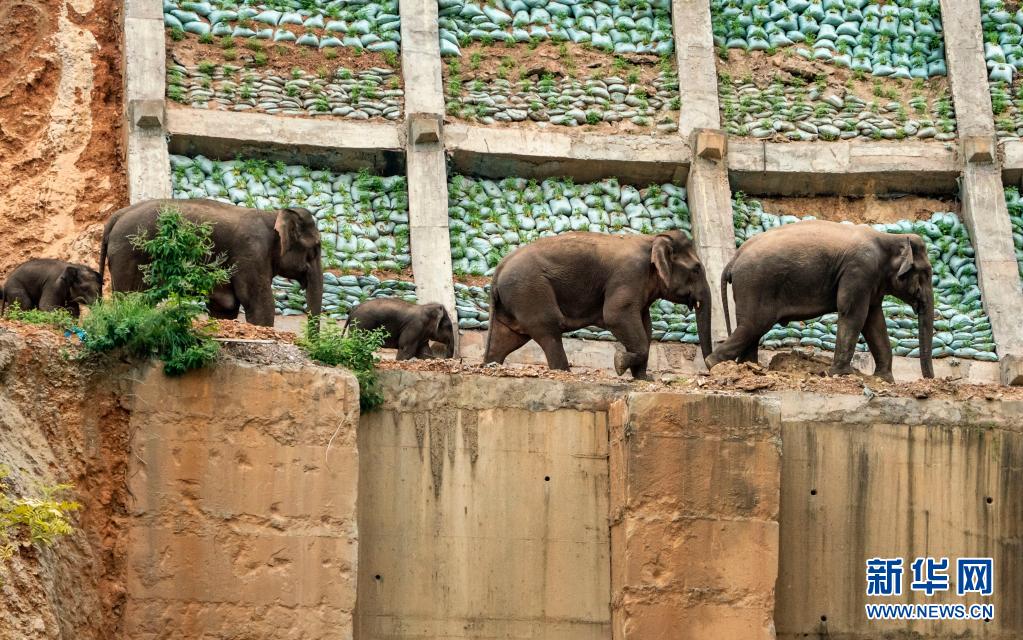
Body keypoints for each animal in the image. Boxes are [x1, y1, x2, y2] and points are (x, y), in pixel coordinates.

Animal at [100, 198, 321, 323]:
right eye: (316, 247)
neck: (274, 214)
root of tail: (117, 216)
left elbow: (226, 306)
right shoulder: (251, 252)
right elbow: (259, 303)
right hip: (129, 254)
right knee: (130, 296)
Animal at [484, 229, 712, 378]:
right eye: (696, 269)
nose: (709, 366)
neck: (652, 239)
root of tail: (497, 271)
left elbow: (645, 327)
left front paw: (643, 379)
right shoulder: (629, 275)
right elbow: (616, 315)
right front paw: (619, 364)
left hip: (514, 300)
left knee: (505, 340)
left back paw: (490, 366)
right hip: (529, 291)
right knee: (549, 331)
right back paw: (565, 372)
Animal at [703, 218, 937, 378]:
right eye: (926, 273)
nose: (928, 379)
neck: (890, 238)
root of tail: (733, 259)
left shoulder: (871, 281)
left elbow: (874, 321)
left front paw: (885, 379)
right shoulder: (860, 270)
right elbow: (854, 313)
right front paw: (842, 374)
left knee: (751, 328)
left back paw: (748, 367)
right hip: (755, 284)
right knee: (753, 324)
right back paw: (714, 364)